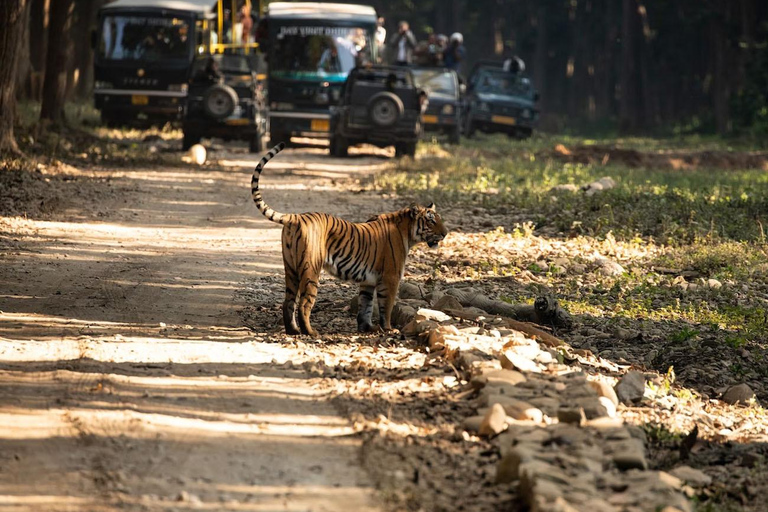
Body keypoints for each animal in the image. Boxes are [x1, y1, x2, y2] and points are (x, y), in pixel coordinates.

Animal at [252, 142, 448, 338]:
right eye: (431, 221)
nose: (446, 233)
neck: (407, 231)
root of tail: (296, 217)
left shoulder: (368, 281)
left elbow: (366, 305)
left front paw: (367, 328)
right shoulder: (390, 278)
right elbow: (386, 306)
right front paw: (388, 328)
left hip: (290, 268)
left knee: (288, 302)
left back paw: (293, 331)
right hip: (311, 269)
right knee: (304, 303)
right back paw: (311, 332)